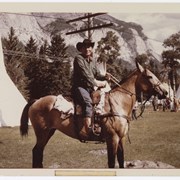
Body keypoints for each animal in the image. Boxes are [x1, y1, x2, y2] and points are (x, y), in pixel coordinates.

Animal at [19, 61, 167, 168]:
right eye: (150, 76)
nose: (165, 92)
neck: (118, 102)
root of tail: (36, 100)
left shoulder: (121, 139)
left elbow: (121, 161)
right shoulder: (112, 138)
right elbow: (112, 163)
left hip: (49, 132)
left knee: (38, 153)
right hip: (42, 133)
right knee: (37, 152)